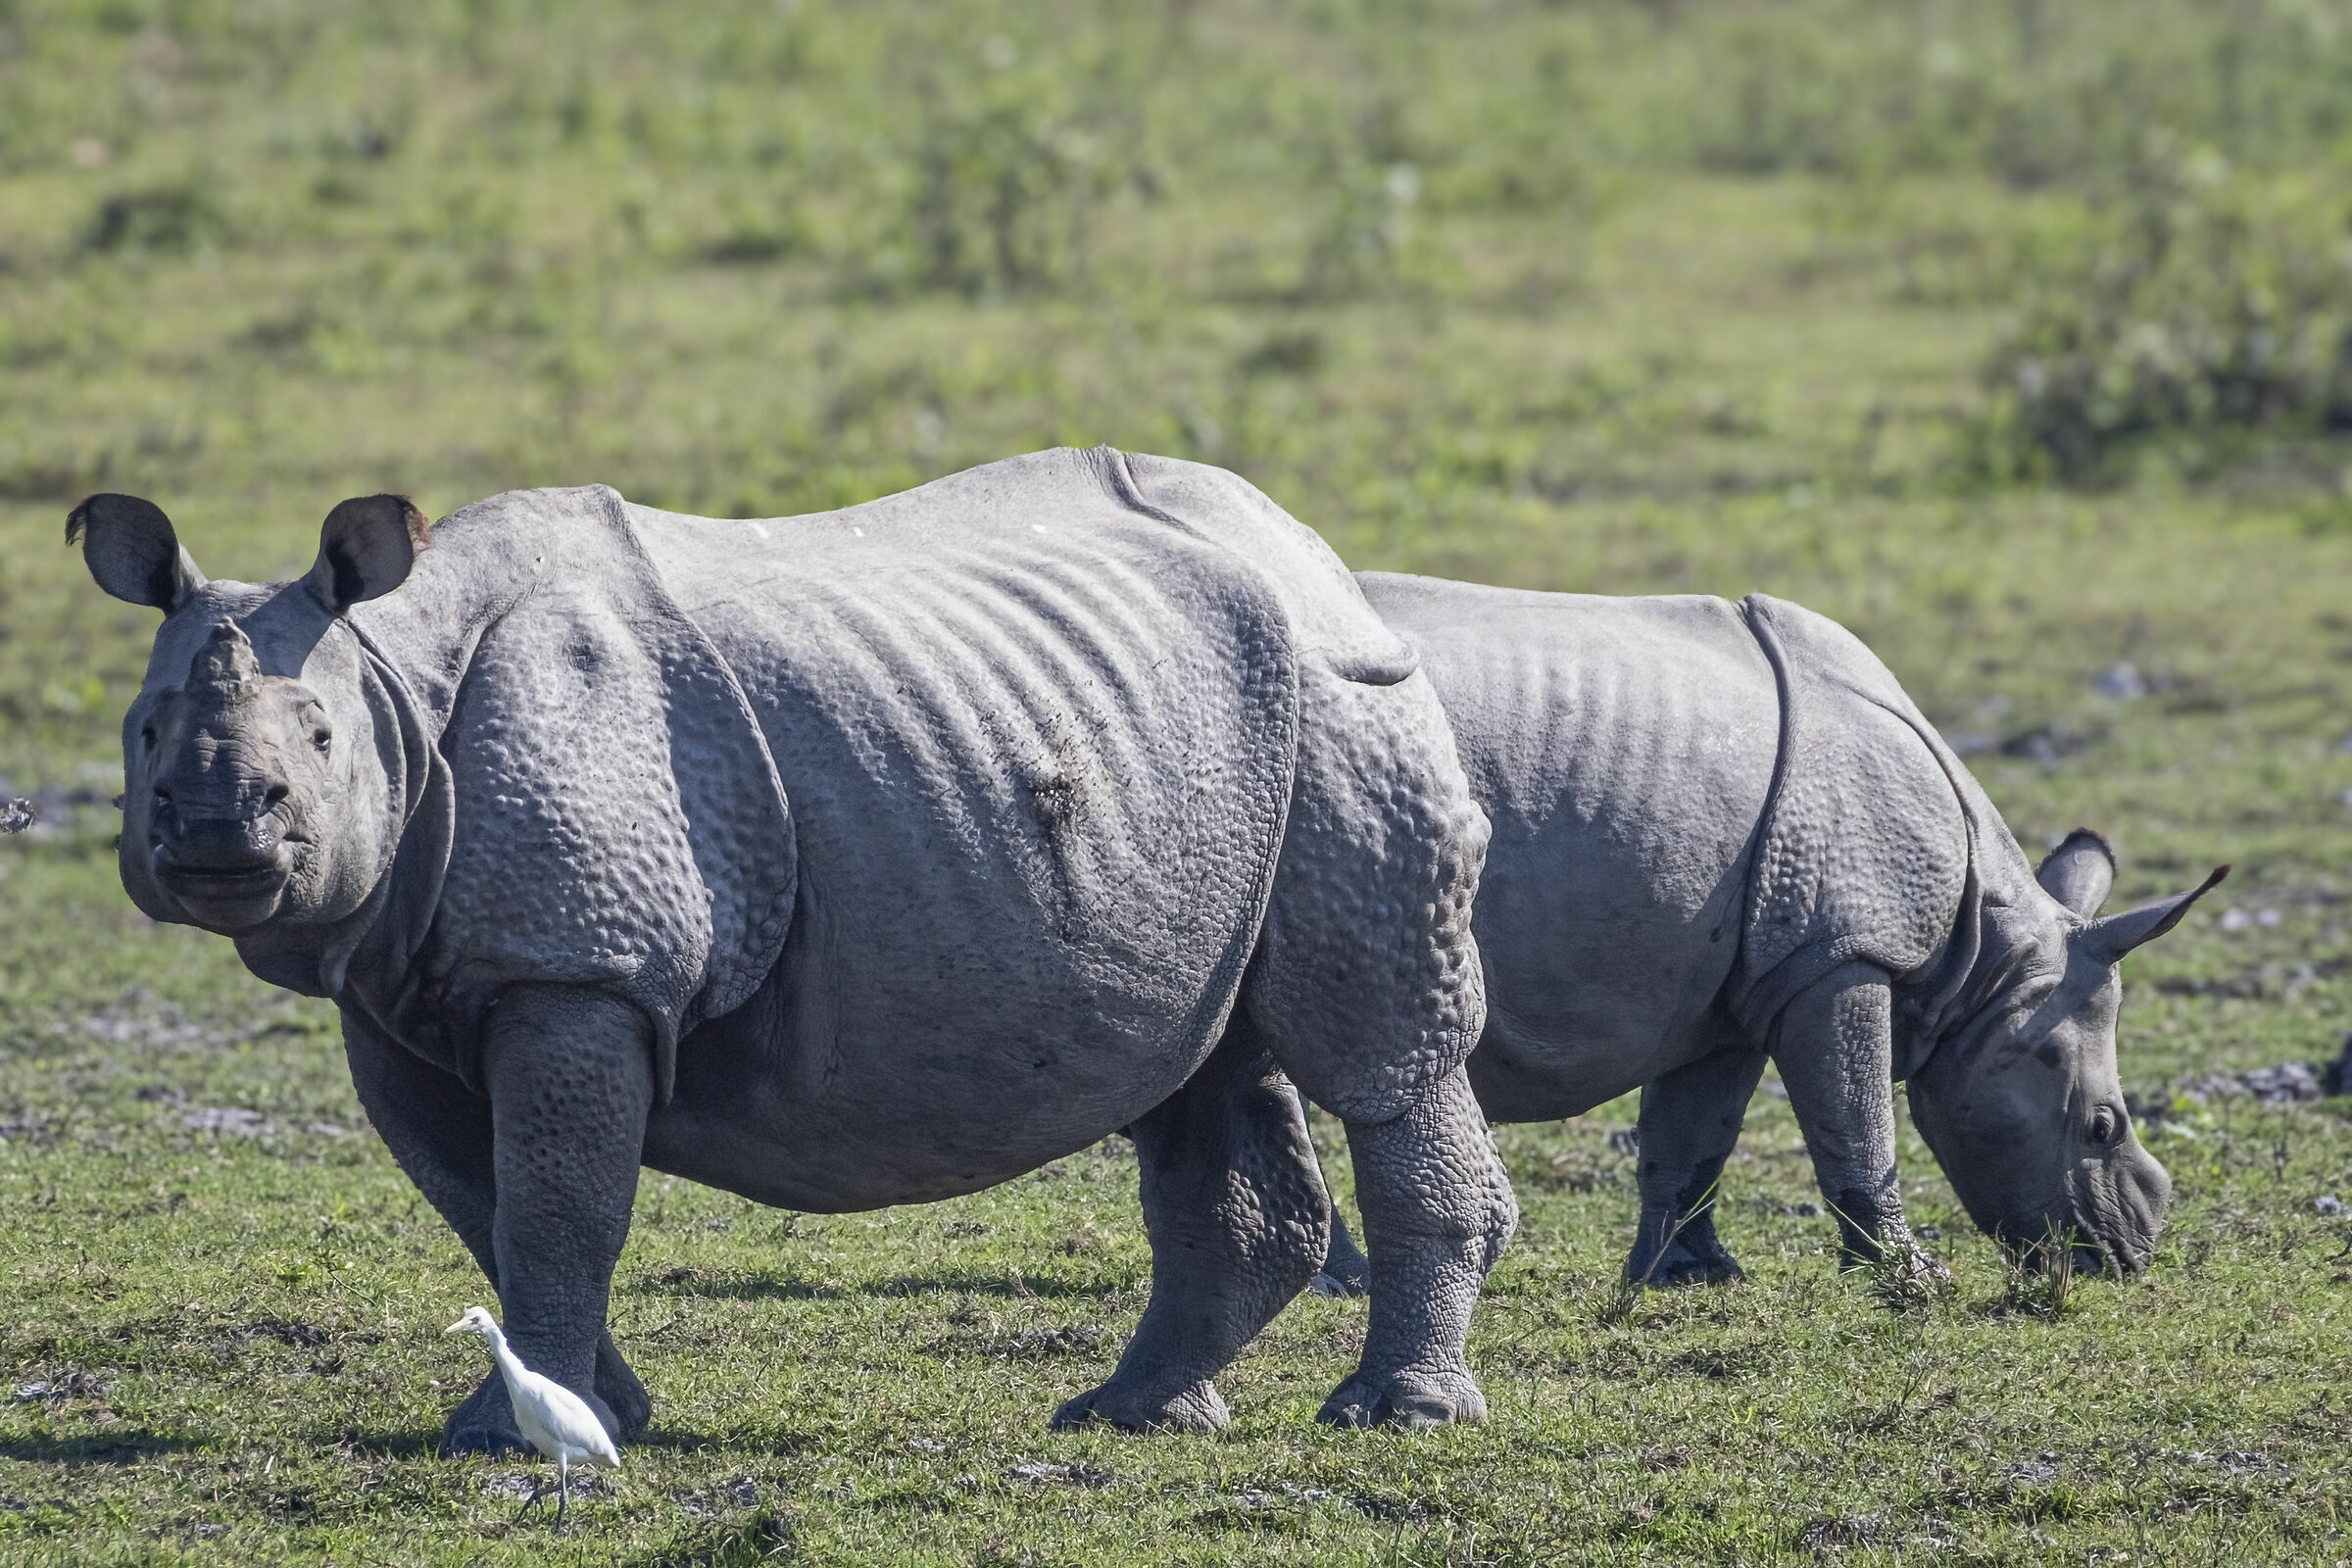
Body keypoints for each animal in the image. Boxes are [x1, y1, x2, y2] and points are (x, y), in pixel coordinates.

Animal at [70, 447, 1516, 1446]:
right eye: (142, 734)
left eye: (318, 745)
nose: (216, 828)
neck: (395, 678)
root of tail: (1312, 547)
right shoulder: (400, 988)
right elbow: (482, 1202)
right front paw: (594, 1412)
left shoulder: (576, 967)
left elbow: (551, 1201)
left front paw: (507, 1437)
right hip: (1191, 745)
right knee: (1200, 1058)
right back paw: (1131, 1415)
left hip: (1346, 702)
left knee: (1378, 1042)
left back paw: (1393, 1415)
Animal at [1310, 574, 2219, 1294]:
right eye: (2101, 1127)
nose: (2127, 1255)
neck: (1985, 969)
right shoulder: (1839, 953)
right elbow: (1855, 1120)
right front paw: (1916, 1283)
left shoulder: (1733, 983)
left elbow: (1695, 1136)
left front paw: (1693, 1277)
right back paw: (1343, 1286)